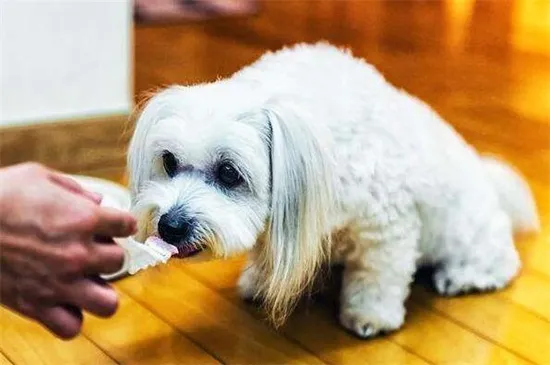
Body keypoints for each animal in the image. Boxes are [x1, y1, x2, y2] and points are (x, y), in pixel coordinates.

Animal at [127, 43, 540, 338]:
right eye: (168, 162)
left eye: (229, 173)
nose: (170, 225)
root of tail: (488, 179)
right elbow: (268, 252)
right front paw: (261, 282)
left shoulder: (386, 228)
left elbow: (378, 274)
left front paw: (370, 315)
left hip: (466, 234)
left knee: (500, 261)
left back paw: (462, 276)